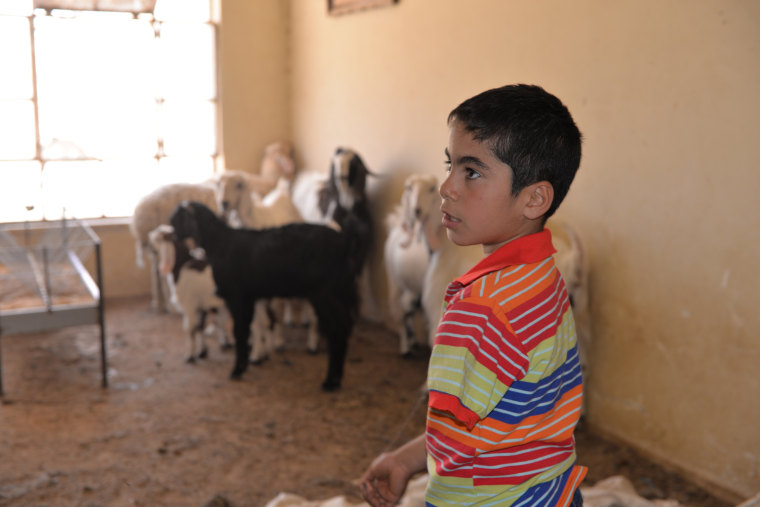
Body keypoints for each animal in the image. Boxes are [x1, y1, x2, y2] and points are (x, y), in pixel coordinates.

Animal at [148, 224, 230, 364]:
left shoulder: (190, 306)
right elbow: (199, 327)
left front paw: (190, 356)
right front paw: (202, 352)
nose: (148, 248)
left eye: (158, 239)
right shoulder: (201, 305)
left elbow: (190, 330)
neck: (181, 268)